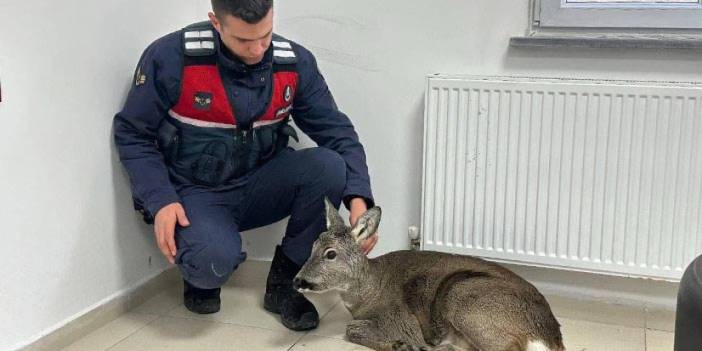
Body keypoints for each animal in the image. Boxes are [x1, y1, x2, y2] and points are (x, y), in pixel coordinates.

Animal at [292, 201, 568, 351]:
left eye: (330, 254)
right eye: (312, 246)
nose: (298, 281)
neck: (369, 292)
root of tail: (548, 335)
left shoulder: (402, 320)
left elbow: (351, 329)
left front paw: (399, 344)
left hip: (464, 296)